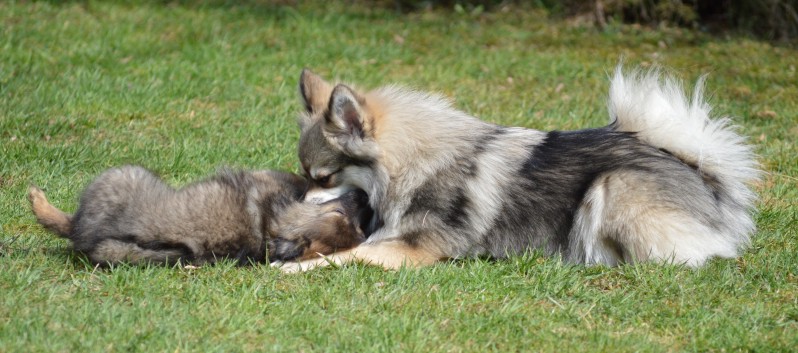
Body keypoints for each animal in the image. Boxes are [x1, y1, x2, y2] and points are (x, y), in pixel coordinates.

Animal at [278, 65, 760, 272]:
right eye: (304, 174)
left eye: (322, 177)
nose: (294, 198)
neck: (412, 165)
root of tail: (705, 179)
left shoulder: (410, 250)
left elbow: (350, 255)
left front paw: (292, 269)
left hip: (613, 187)